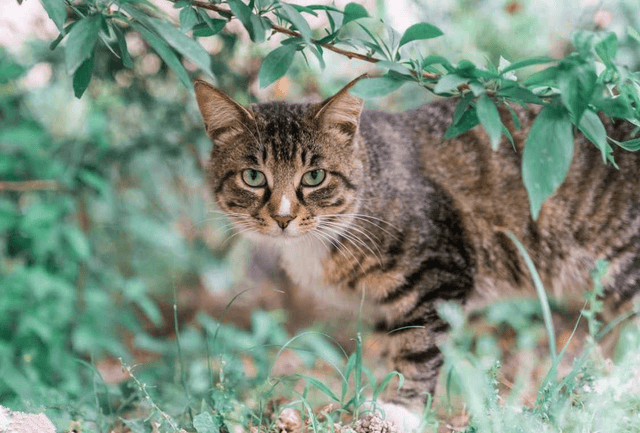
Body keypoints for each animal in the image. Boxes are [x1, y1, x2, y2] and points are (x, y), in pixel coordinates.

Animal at [192, 76, 640, 426]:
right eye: (253, 177)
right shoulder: (385, 306)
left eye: (314, 176)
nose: (283, 217)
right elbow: (392, 347)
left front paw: (400, 410)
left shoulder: (436, 273)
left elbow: (418, 350)